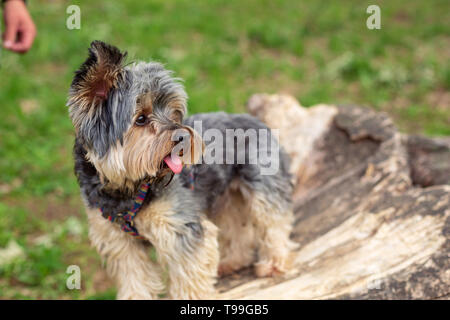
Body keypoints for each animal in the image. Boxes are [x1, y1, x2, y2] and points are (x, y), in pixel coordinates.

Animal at [67, 41, 296, 298]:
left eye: (173, 112)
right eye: (141, 119)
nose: (182, 137)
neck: (128, 186)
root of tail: (257, 121)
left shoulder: (180, 229)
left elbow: (190, 277)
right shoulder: (118, 240)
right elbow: (134, 277)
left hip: (264, 182)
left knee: (273, 221)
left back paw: (275, 262)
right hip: (224, 198)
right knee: (235, 226)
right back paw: (233, 261)